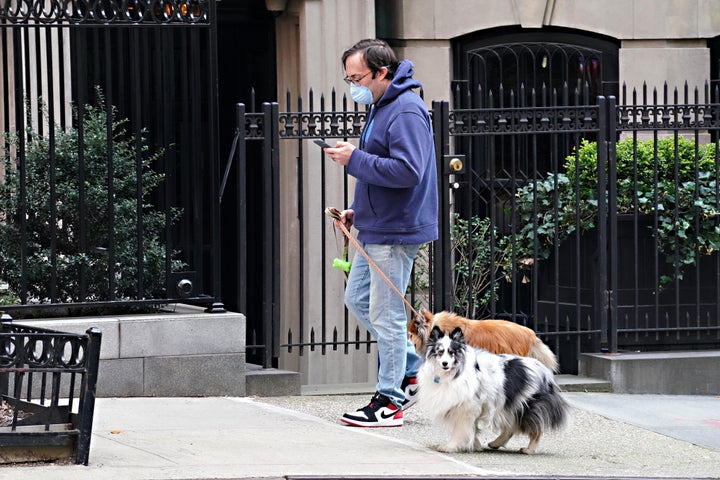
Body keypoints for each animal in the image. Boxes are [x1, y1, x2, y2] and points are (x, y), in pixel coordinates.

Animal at [416, 322, 568, 454]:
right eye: (439, 352)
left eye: (452, 352)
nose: (445, 364)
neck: (455, 372)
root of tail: (546, 372)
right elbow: (472, 430)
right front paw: (475, 445)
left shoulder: (466, 409)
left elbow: (460, 430)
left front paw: (451, 446)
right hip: (510, 406)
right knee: (510, 428)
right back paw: (495, 443)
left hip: (526, 406)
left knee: (535, 429)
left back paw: (528, 449)